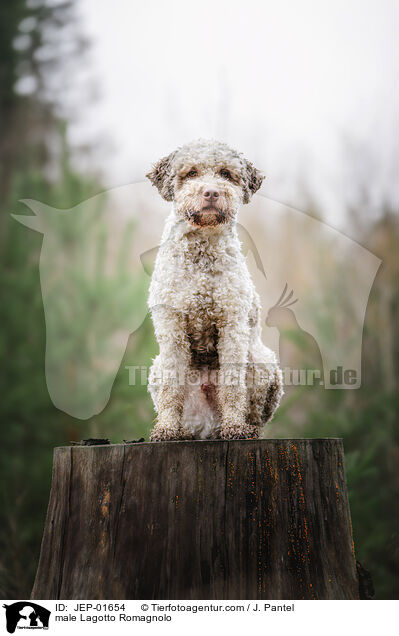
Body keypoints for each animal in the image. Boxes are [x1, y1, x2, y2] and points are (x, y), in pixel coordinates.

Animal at [147, 139, 284, 440]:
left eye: (225, 173)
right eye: (191, 173)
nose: (211, 192)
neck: (201, 252)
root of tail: (206, 427)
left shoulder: (232, 323)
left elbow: (232, 385)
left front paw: (234, 427)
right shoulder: (171, 325)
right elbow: (171, 386)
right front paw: (166, 429)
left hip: (263, 362)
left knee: (254, 412)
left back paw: (244, 428)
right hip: (155, 367)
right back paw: (182, 431)